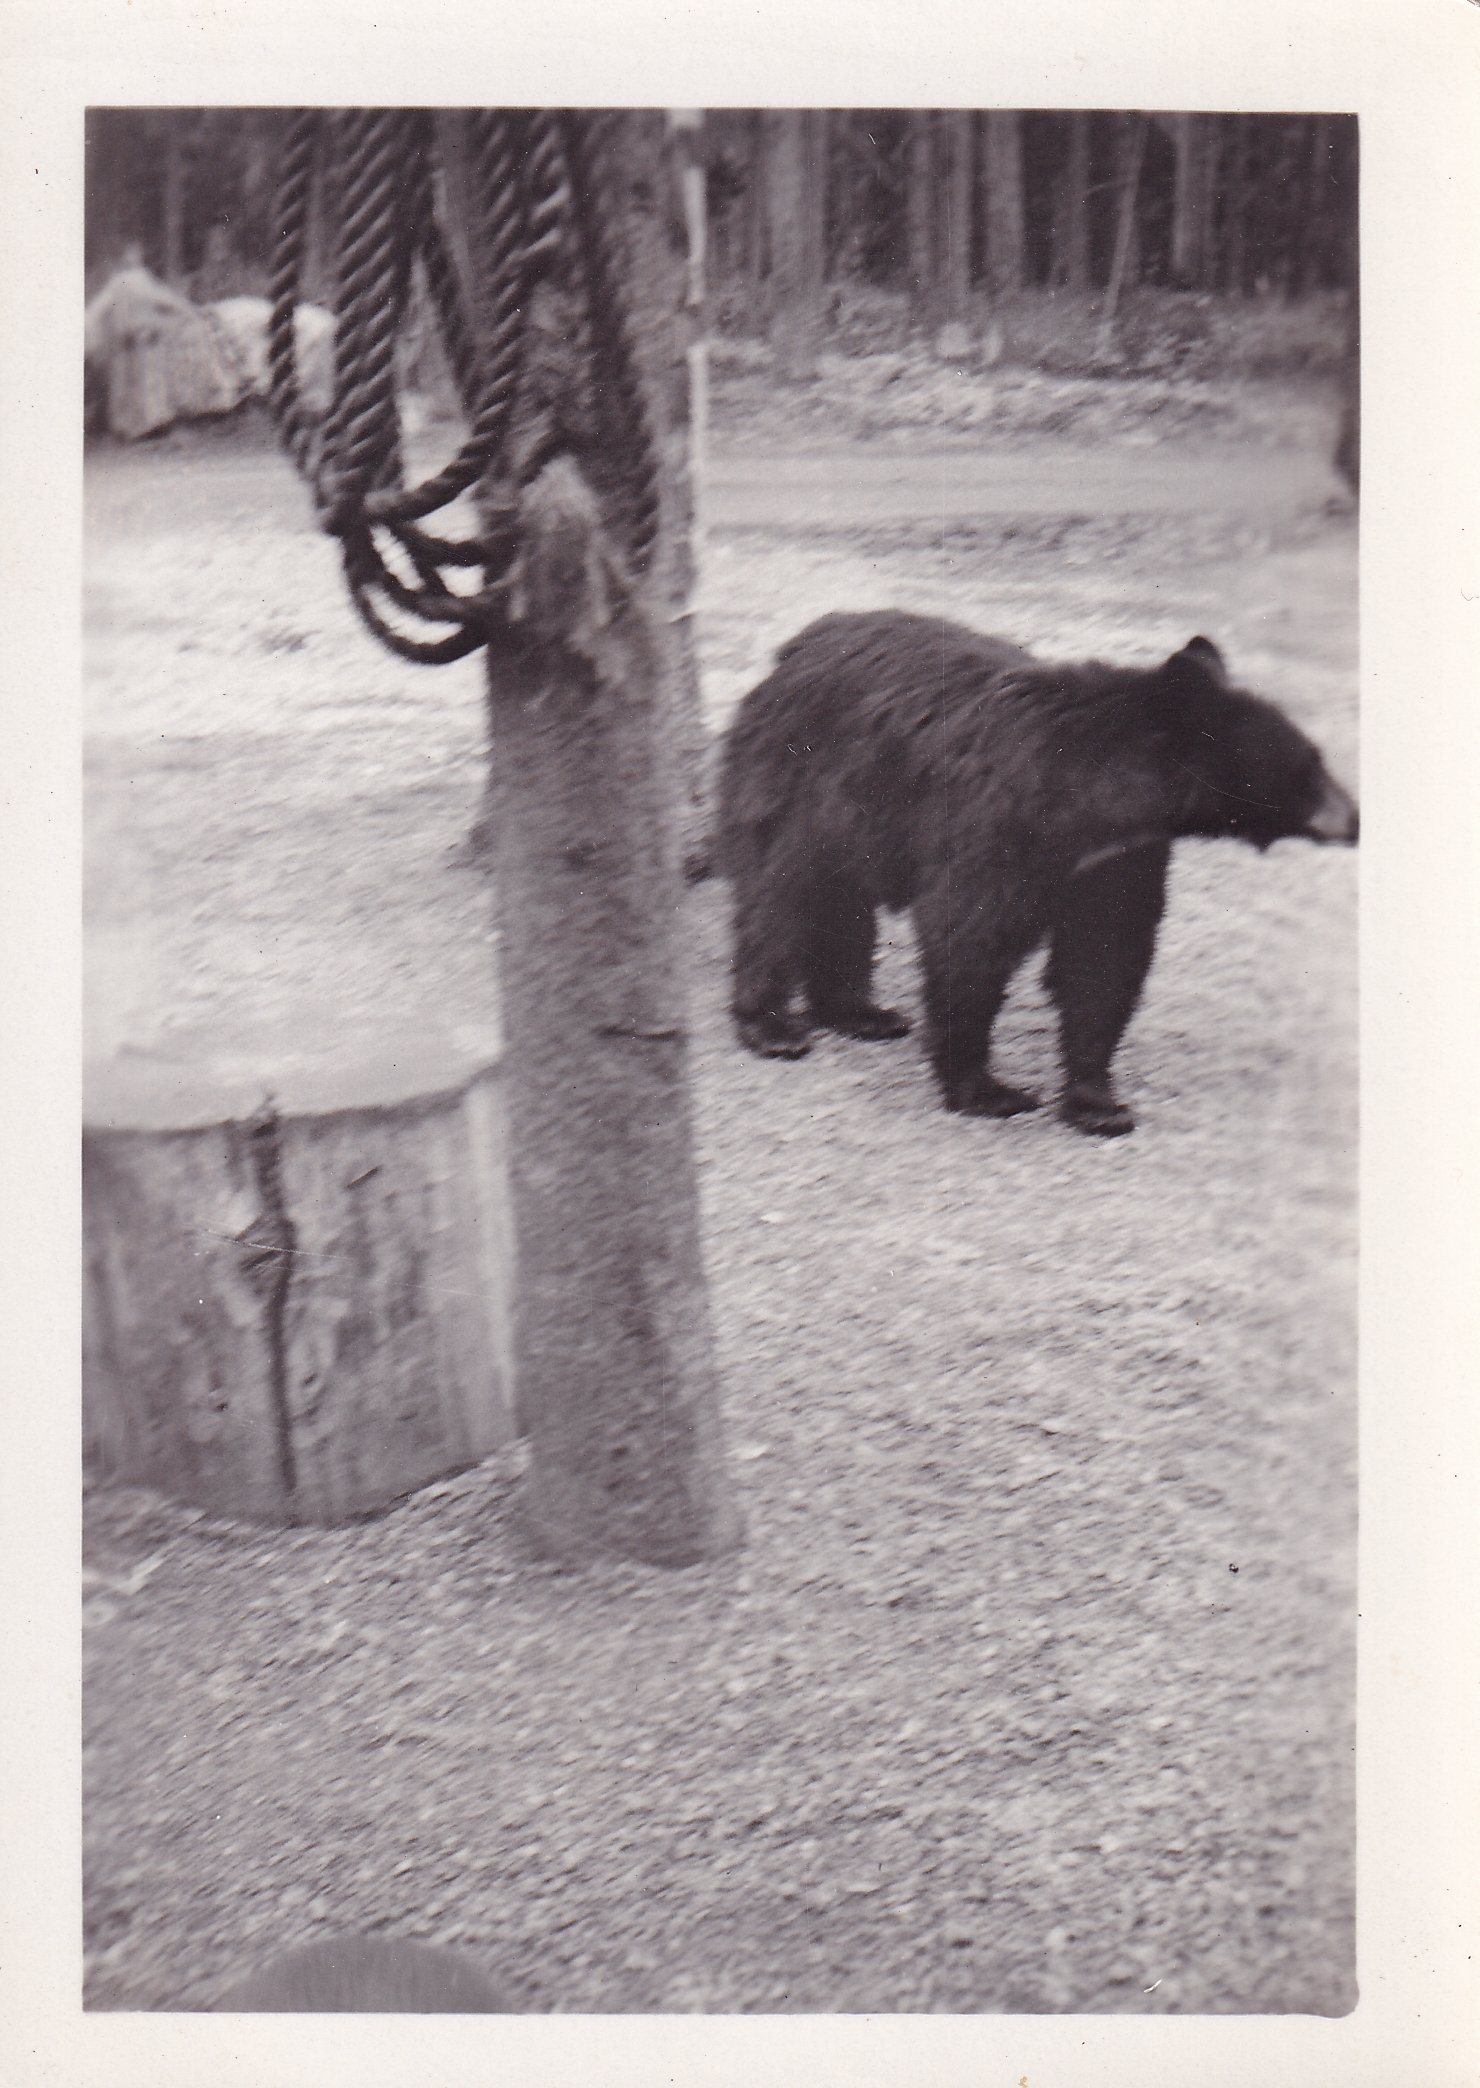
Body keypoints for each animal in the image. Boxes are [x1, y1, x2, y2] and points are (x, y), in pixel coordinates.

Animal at [718, 611, 1358, 1136]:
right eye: (1309, 768)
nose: (1355, 819)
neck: (1097, 793)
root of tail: (792, 649)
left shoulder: (1118, 858)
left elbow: (1105, 955)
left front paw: (1097, 1102)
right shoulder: (999, 824)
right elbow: (968, 937)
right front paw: (986, 1089)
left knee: (840, 903)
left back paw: (859, 1013)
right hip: (802, 780)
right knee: (779, 896)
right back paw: (772, 1027)